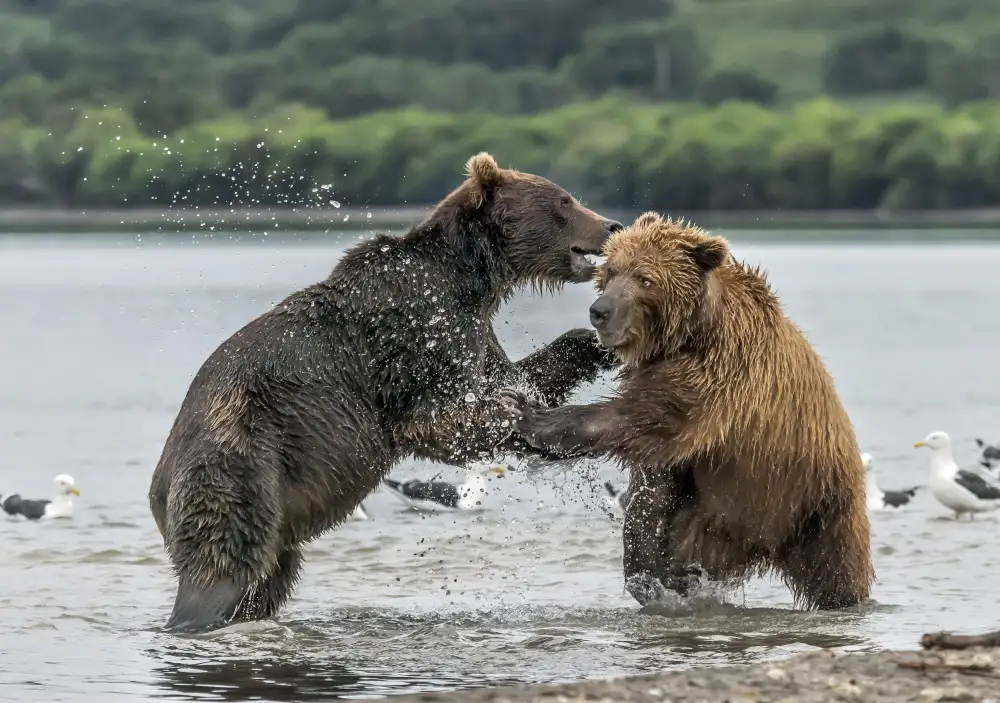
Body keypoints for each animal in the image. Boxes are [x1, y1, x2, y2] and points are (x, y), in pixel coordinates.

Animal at [148, 152, 623, 633]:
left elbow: (517, 374)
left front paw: (596, 347)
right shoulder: (416, 333)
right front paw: (525, 421)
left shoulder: (471, 333)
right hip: (236, 470)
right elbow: (438, 418)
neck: (470, 279)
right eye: (564, 202)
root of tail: (159, 486)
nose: (612, 224)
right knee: (223, 568)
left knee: (267, 580)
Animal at [501, 212, 874, 611]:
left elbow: (646, 420)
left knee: (837, 571)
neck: (685, 336)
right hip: (717, 518)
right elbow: (652, 491)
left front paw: (527, 413)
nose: (600, 311)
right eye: (612, 270)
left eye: (644, 278)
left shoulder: (719, 374)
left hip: (816, 505)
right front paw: (646, 571)